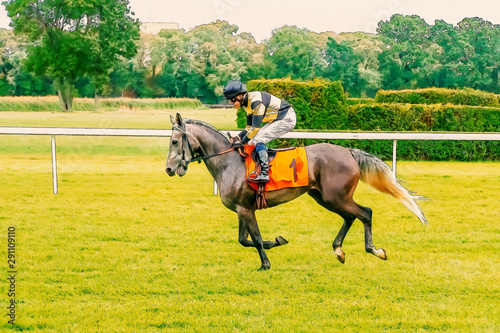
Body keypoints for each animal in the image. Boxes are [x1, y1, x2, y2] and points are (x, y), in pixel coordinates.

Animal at [166, 113, 428, 270]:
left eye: (175, 142)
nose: (168, 169)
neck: (229, 161)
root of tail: (349, 152)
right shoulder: (242, 208)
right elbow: (244, 240)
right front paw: (276, 242)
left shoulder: (246, 209)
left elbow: (256, 239)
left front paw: (266, 263)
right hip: (324, 197)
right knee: (351, 216)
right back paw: (339, 250)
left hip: (336, 196)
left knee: (365, 213)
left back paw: (375, 250)